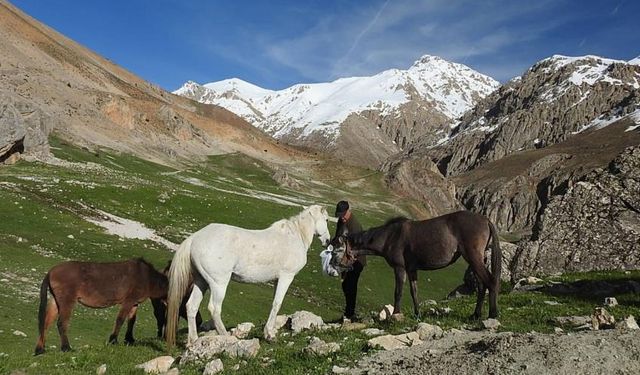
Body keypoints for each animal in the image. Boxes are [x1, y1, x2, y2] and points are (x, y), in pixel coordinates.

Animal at [35, 258, 168, 356]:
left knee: (45, 323)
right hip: (67, 301)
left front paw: (129, 340)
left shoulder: (135, 303)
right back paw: (66, 348)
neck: (148, 277)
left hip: (55, 301)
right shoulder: (128, 301)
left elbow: (131, 321)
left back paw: (40, 349)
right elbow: (120, 319)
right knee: (62, 323)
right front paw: (113, 340)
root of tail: (50, 272)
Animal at [165, 206, 330, 346]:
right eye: (327, 220)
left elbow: (274, 304)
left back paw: (193, 341)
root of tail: (194, 238)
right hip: (218, 283)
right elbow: (277, 304)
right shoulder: (286, 277)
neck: (295, 236)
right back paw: (226, 337)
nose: (328, 241)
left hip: (201, 281)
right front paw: (270, 335)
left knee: (191, 306)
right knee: (215, 308)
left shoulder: (277, 280)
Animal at [332, 212, 502, 320]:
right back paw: (476, 315)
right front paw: (417, 314)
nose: (337, 265)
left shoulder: (400, 268)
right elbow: (414, 293)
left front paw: (396, 314)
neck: (390, 237)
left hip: (473, 258)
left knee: (491, 281)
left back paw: (492, 314)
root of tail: (485, 220)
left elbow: (398, 292)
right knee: (482, 286)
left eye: (339, 249)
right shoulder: (412, 270)